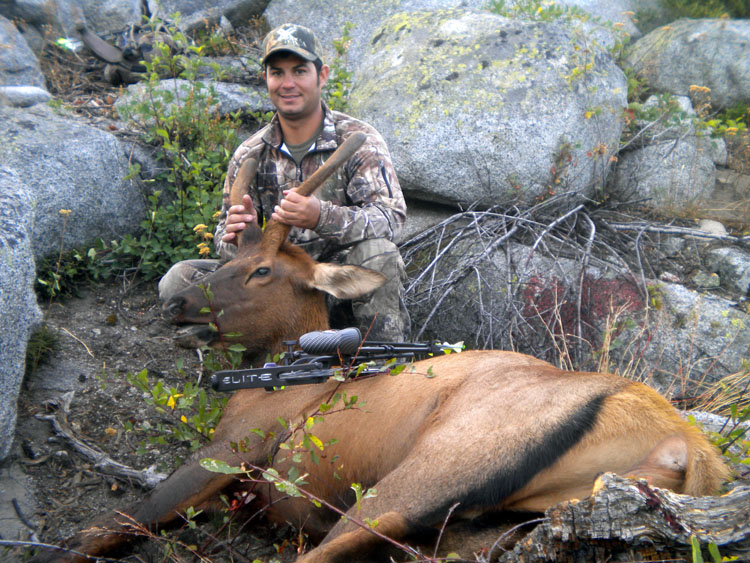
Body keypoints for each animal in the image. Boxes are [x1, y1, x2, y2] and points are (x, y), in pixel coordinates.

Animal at [32, 133, 728, 563]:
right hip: (494, 531)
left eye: (262, 271)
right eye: (229, 258)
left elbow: (105, 526)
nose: (178, 306)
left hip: (424, 474)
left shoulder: (235, 447)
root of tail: (688, 448)